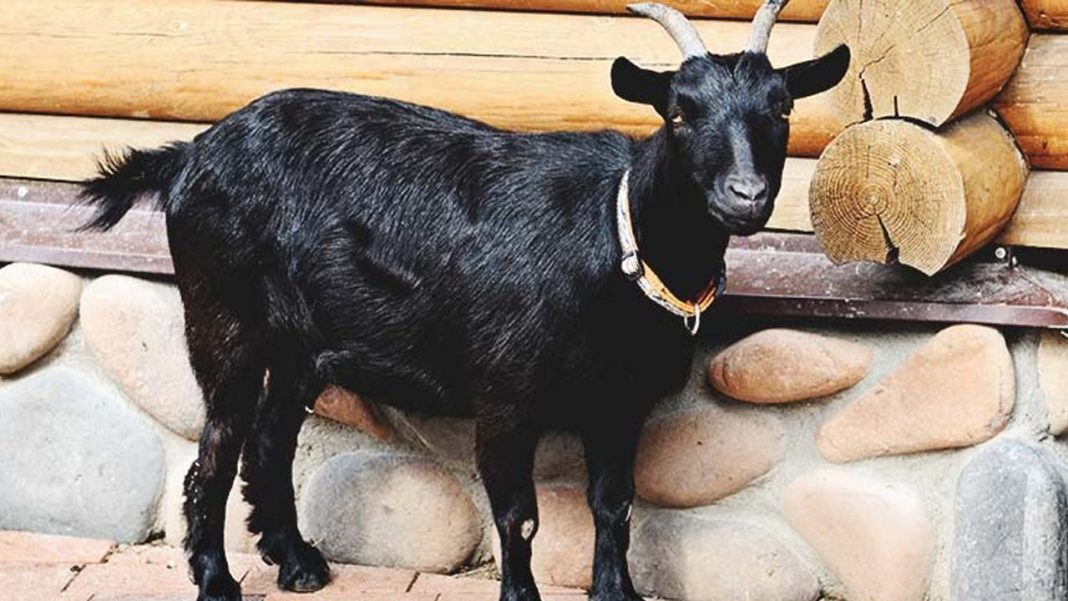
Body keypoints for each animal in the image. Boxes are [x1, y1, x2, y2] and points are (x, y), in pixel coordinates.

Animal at [79, 2, 848, 600]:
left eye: (781, 106)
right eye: (680, 112)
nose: (746, 196)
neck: (615, 233)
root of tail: (189, 154)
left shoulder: (618, 400)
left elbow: (615, 505)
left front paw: (617, 591)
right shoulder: (507, 394)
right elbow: (519, 516)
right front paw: (522, 594)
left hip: (302, 346)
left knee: (268, 442)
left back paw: (297, 564)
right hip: (223, 318)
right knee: (215, 451)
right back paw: (216, 580)